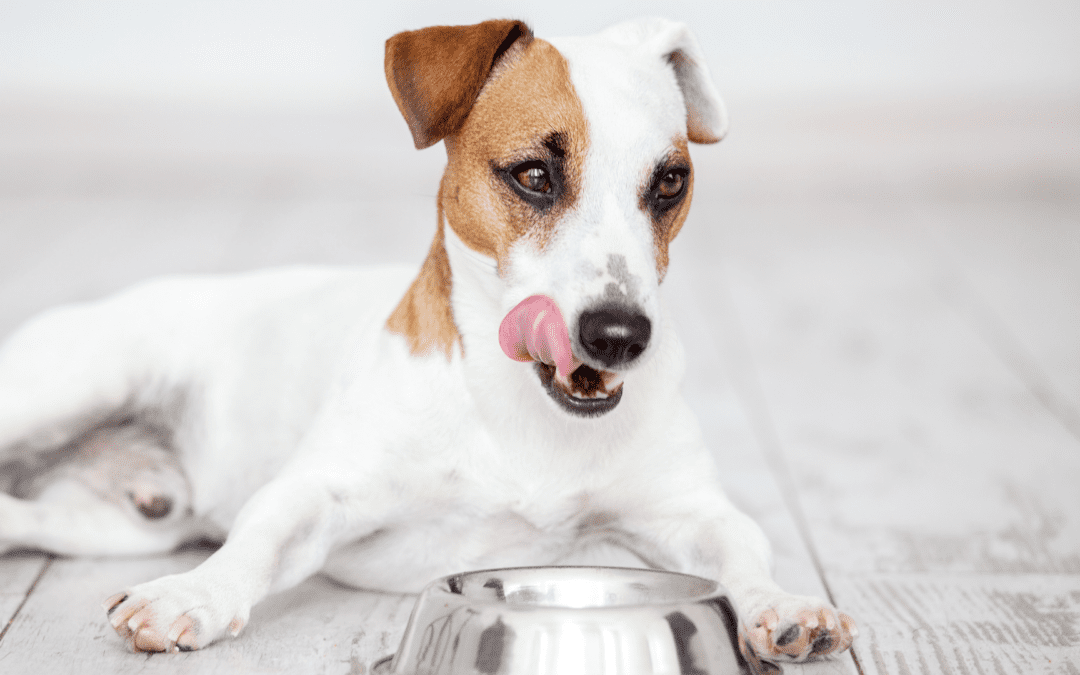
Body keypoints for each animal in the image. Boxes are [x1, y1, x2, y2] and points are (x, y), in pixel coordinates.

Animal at [0, 17, 855, 665]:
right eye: (534, 175)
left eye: (670, 183)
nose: (620, 335)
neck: (519, 411)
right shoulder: (319, 491)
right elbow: (261, 536)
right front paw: (193, 592)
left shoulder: (686, 510)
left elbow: (741, 545)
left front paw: (783, 602)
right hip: (76, 382)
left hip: (119, 524)